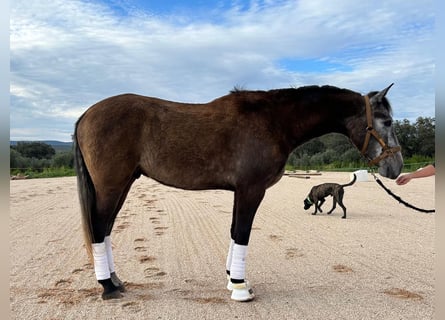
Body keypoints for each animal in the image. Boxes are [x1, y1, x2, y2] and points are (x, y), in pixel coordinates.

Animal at [73, 84, 402, 302]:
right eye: (386, 121)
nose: (396, 166)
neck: (273, 122)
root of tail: (87, 114)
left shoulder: (239, 192)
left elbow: (234, 232)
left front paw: (233, 280)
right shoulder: (251, 190)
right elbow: (242, 233)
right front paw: (241, 288)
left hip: (123, 184)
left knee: (105, 229)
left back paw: (115, 281)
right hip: (112, 186)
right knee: (99, 228)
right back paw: (108, 286)